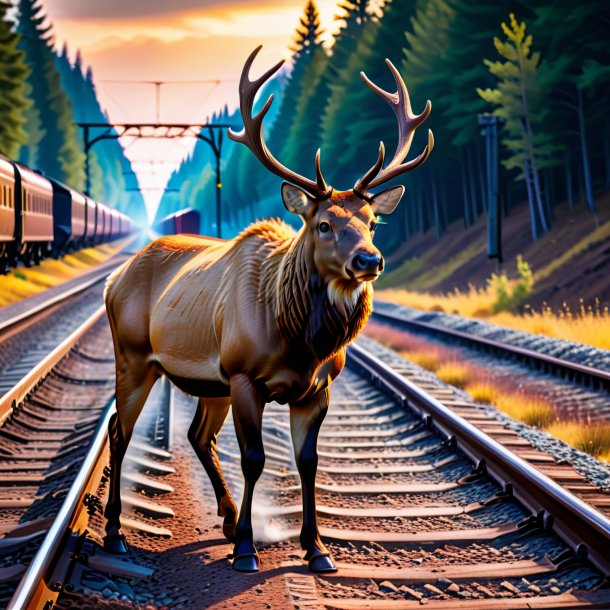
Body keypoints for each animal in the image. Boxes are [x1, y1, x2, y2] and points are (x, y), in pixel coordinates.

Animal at [101, 46, 432, 568]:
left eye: (372, 222)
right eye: (323, 224)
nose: (370, 260)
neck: (299, 341)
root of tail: (115, 278)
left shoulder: (317, 388)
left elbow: (307, 461)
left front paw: (316, 548)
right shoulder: (243, 375)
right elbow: (254, 459)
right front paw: (245, 549)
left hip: (207, 382)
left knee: (197, 435)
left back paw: (225, 515)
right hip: (134, 356)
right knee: (120, 431)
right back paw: (116, 532)